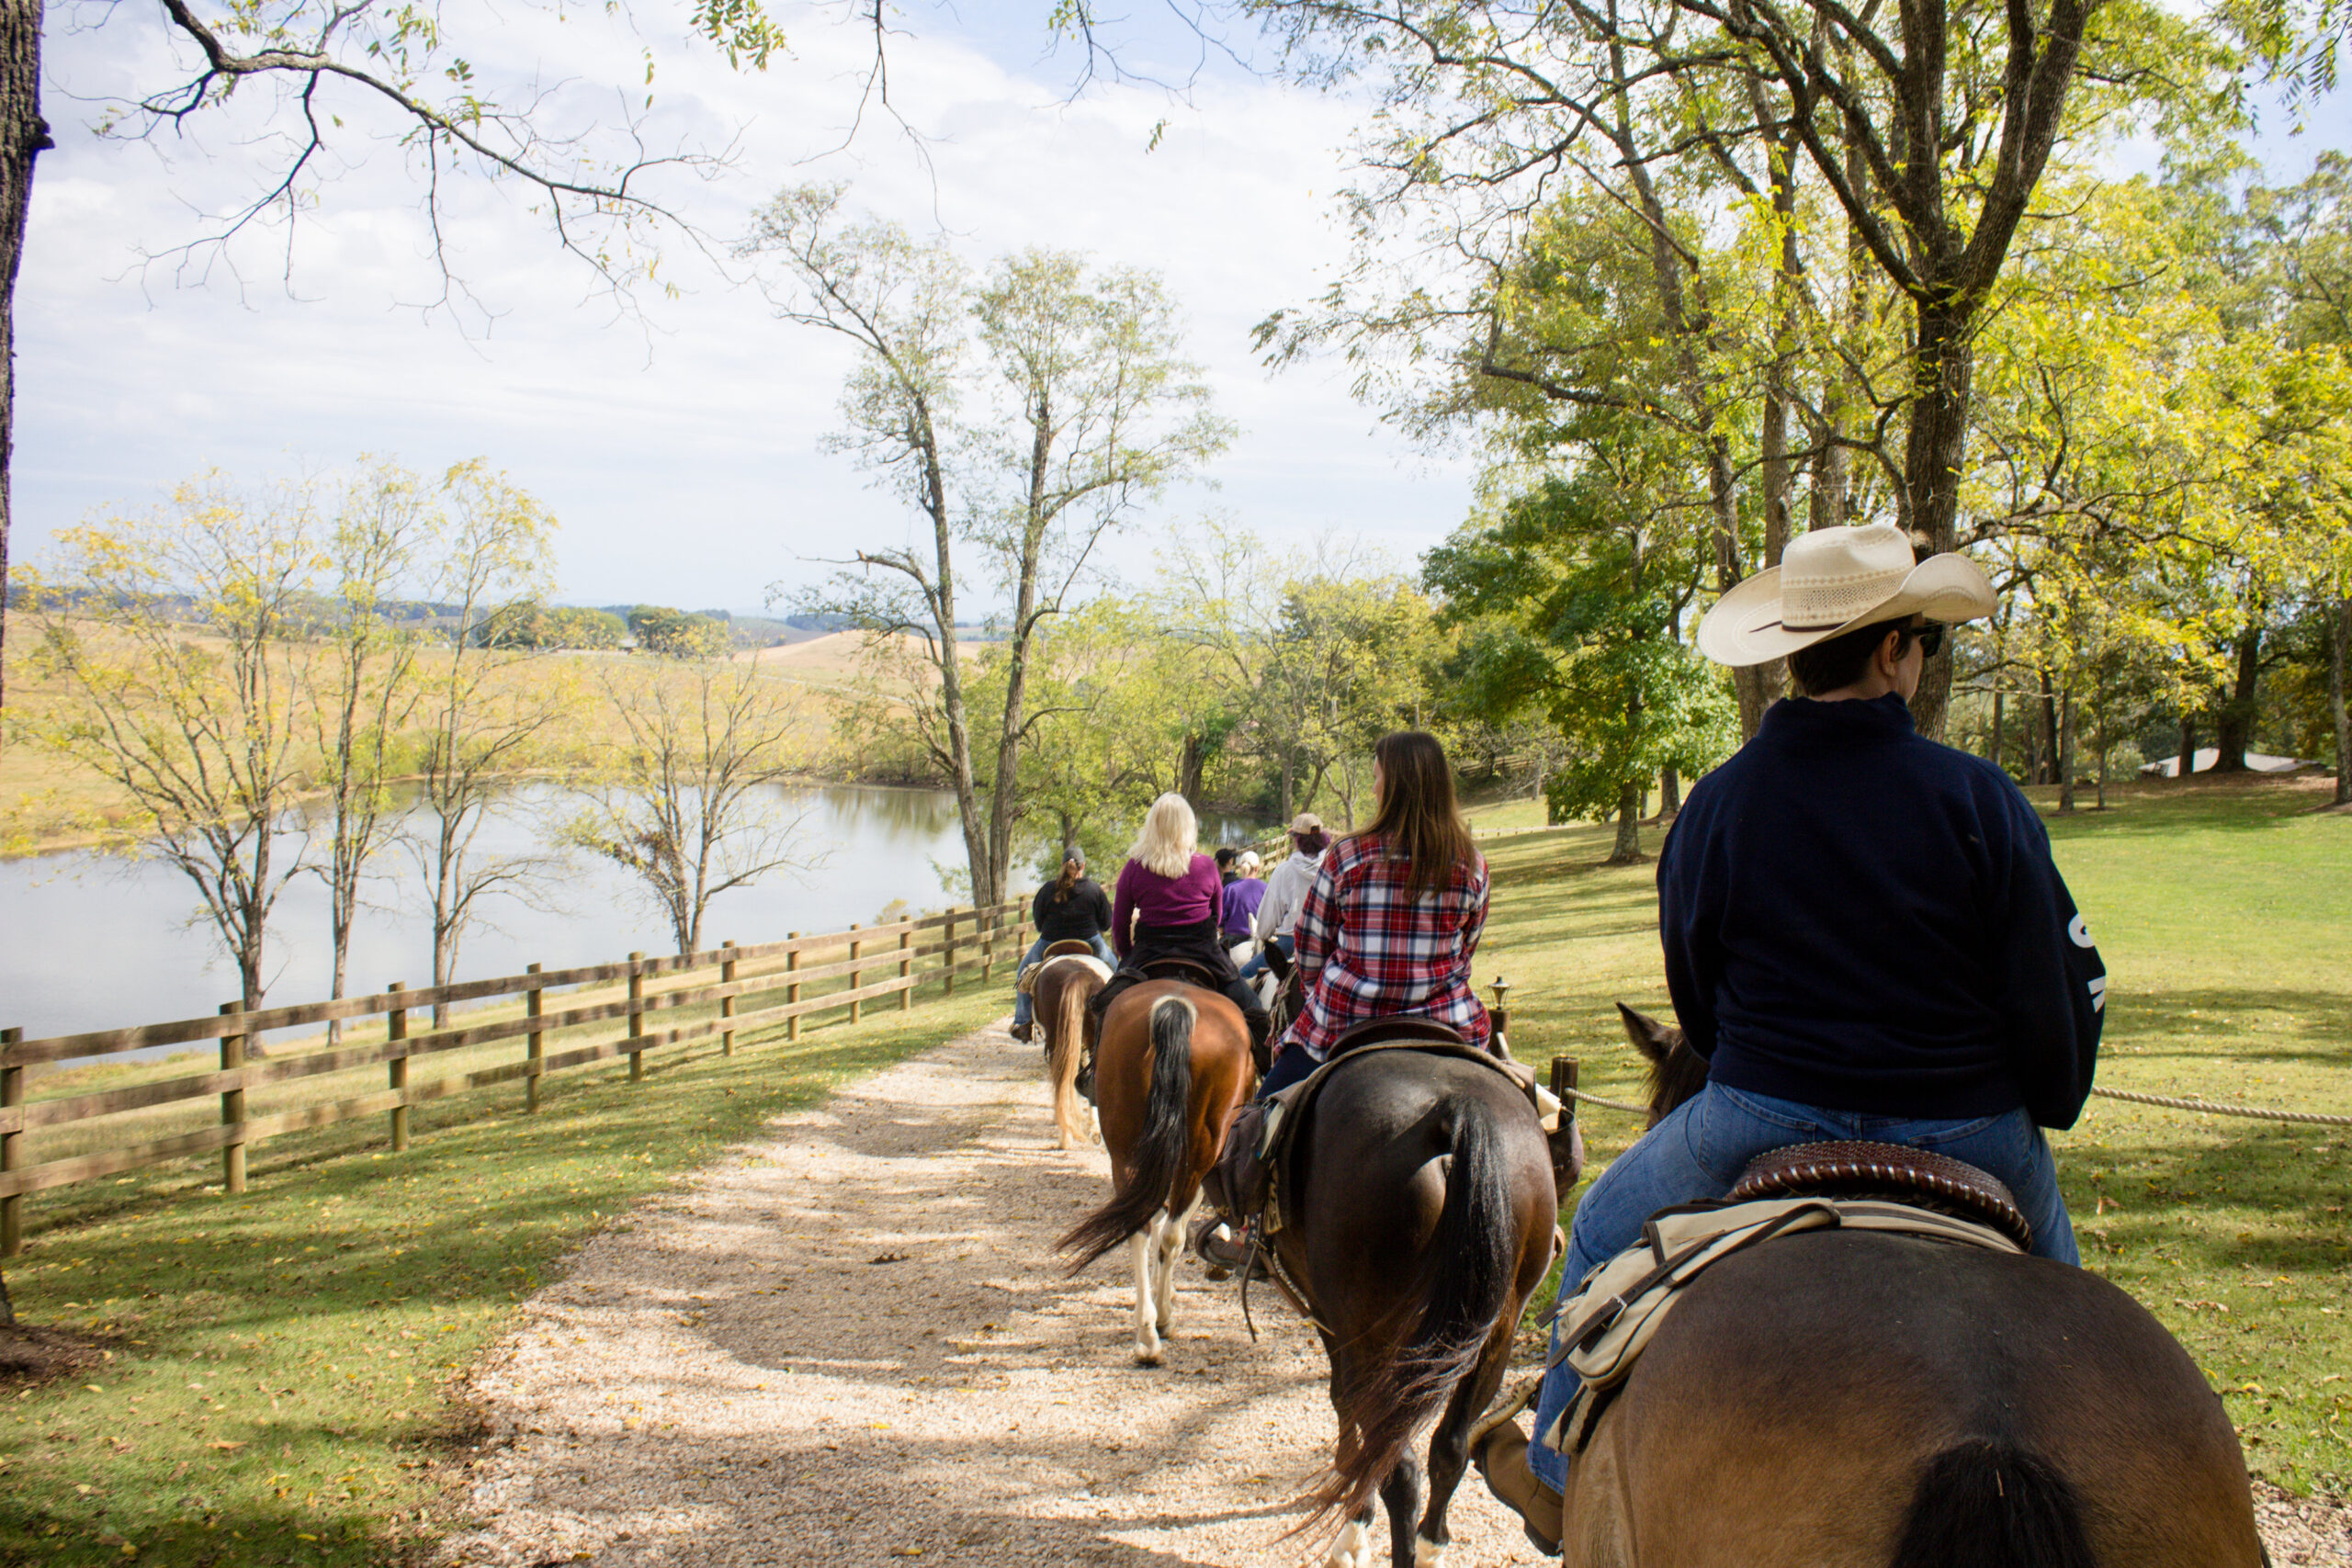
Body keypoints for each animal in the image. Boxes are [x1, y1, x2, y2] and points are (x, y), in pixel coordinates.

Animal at [1058, 982, 1261, 1363]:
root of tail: (1174, 1003)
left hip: (1125, 1149)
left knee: (1139, 1226)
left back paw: (1146, 1335)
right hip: (1200, 1152)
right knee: (1169, 1233)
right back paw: (1161, 1321)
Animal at [1261, 1043, 1571, 1568]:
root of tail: (1457, 1108)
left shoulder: (1332, 1320)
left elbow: (1342, 1403)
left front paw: (1354, 1526)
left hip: (1375, 1336)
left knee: (1396, 1462)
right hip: (1496, 1330)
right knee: (1449, 1448)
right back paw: (1430, 1545)